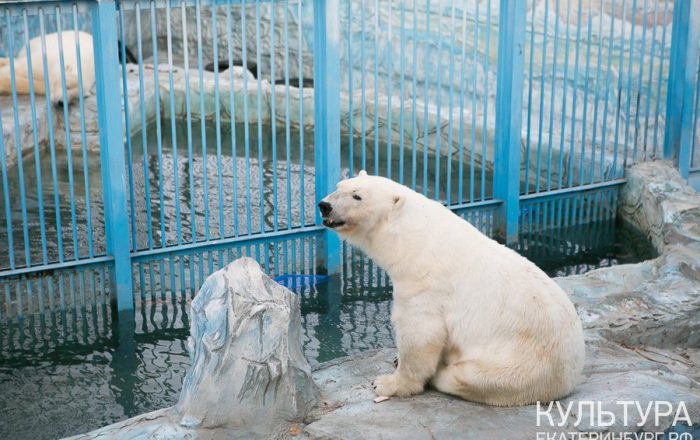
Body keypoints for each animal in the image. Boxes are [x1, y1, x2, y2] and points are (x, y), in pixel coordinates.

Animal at [318, 171, 584, 406]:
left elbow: (420, 332)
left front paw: (388, 383)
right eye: (339, 186)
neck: (414, 239)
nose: (324, 205)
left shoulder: (425, 284)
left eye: (357, 196)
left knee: (466, 378)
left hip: (517, 366)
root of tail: (569, 377)